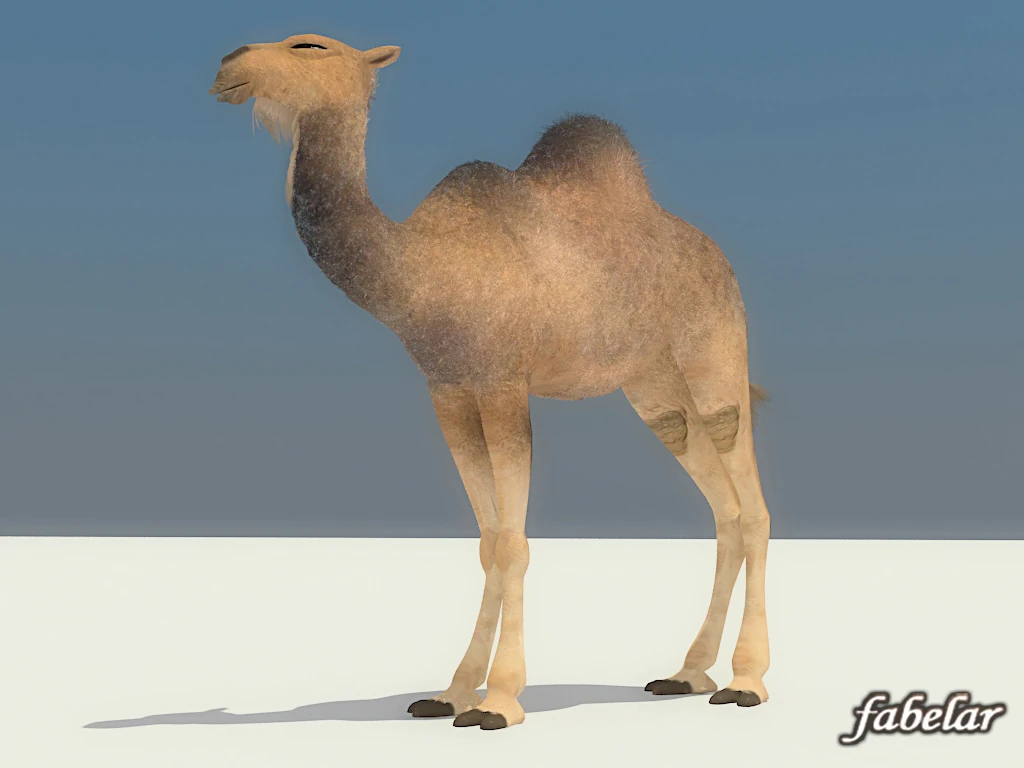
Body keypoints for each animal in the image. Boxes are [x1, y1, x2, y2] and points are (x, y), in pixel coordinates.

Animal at [209, 33, 773, 731]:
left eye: (307, 44)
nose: (228, 66)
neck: (424, 271)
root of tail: (715, 253)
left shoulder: (504, 381)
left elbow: (514, 544)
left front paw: (500, 700)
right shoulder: (449, 389)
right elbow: (487, 542)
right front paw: (452, 692)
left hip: (714, 354)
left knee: (753, 508)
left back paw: (746, 680)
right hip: (654, 390)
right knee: (723, 509)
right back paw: (688, 672)